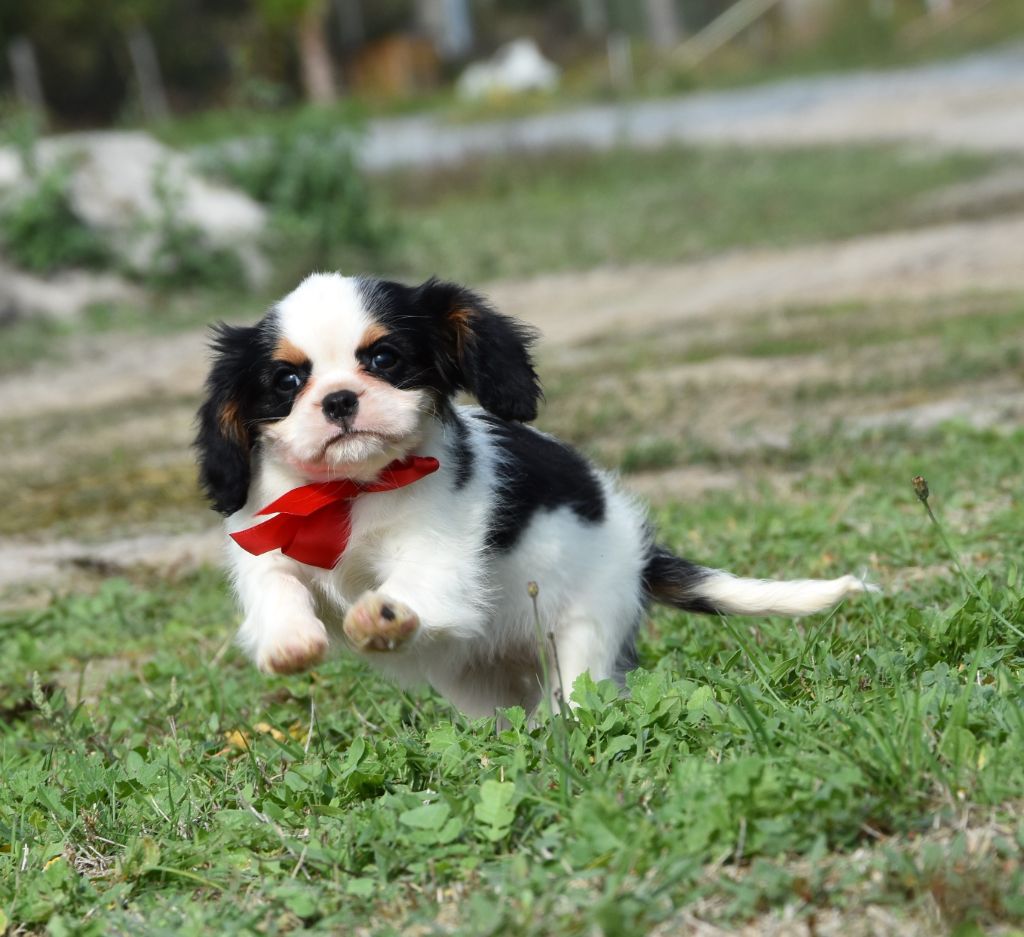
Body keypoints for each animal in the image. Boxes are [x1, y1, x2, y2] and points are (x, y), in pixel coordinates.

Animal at [197, 272, 872, 716]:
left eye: (385, 359)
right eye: (288, 381)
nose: (339, 400)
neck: (349, 490)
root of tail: (639, 548)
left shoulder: (440, 552)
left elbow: (414, 584)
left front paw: (381, 614)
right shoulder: (266, 536)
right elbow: (277, 586)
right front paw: (289, 641)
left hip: (588, 630)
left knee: (575, 693)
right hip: (472, 681)